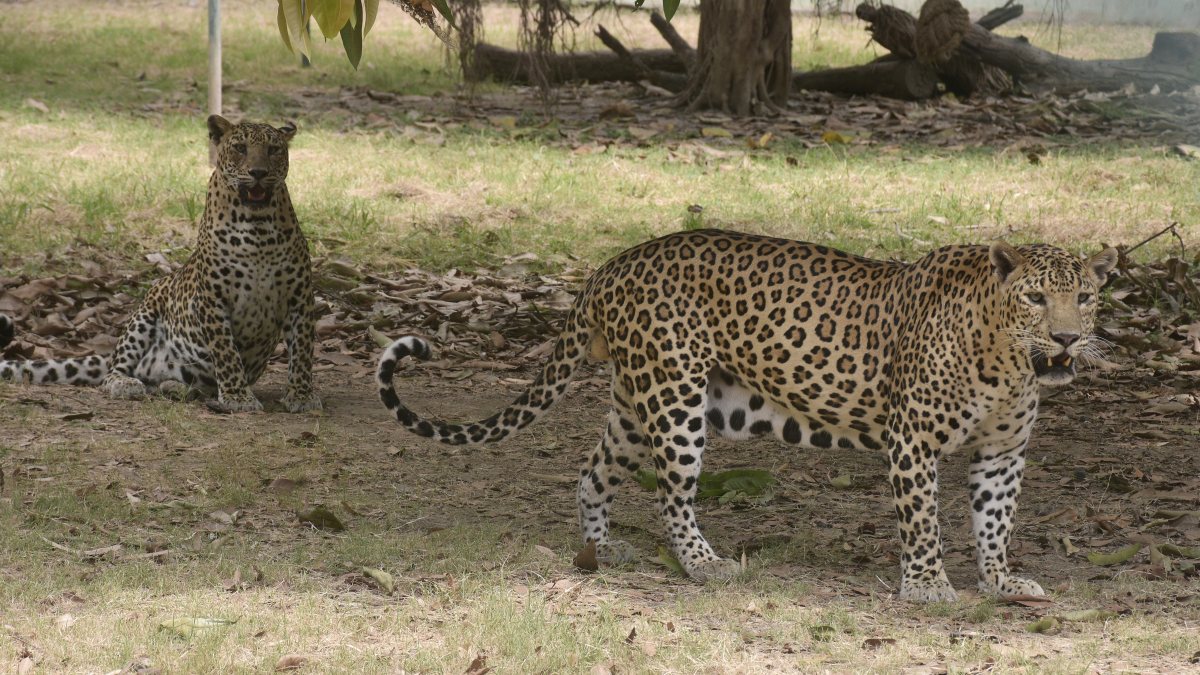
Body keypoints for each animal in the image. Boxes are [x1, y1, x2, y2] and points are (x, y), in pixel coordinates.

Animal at [0, 115, 321, 414]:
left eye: (273, 149)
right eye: (241, 148)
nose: (258, 173)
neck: (257, 228)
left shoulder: (300, 297)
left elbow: (302, 352)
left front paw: (301, 396)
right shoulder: (213, 300)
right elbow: (227, 352)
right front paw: (238, 397)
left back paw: (176, 387)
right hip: (146, 309)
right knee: (114, 373)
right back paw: (128, 384)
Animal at [374, 229, 1117, 603]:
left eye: (1084, 297)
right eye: (1034, 298)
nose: (1067, 339)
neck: (1009, 362)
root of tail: (609, 268)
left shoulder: (1002, 453)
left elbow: (995, 522)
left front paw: (1000, 581)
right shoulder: (913, 441)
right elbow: (924, 520)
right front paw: (929, 585)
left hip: (638, 402)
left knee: (592, 471)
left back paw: (601, 550)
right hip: (675, 400)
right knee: (674, 494)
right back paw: (705, 566)